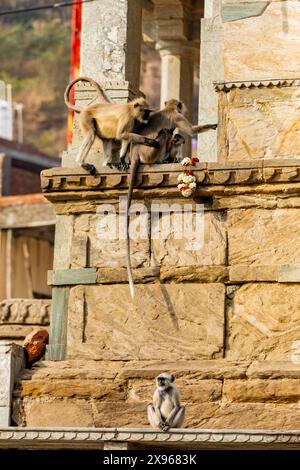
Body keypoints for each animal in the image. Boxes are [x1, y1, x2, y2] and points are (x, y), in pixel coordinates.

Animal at [125, 98, 217, 302]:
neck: (167, 109)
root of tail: (135, 153)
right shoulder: (176, 117)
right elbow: (190, 130)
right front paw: (213, 125)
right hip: (150, 153)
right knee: (165, 133)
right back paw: (162, 160)